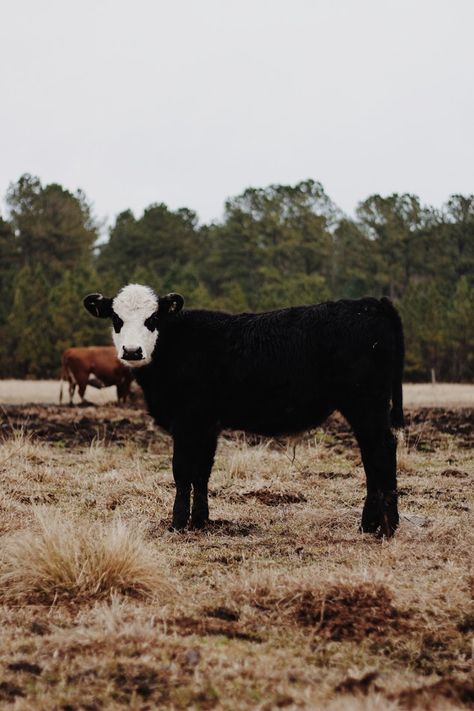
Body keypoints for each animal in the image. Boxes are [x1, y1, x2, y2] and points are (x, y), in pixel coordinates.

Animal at [84, 282, 404, 536]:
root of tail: (372, 303)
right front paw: (200, 522)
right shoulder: (207, 424)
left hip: (366, 404)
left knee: (382, 450)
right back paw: (369, 524)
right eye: (116, 318)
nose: (132, 351)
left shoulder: (187, 421)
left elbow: (182, 471)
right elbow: (202, 472)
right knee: (370, 456)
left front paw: (177, 523)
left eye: (153, 318)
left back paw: (388, 527)